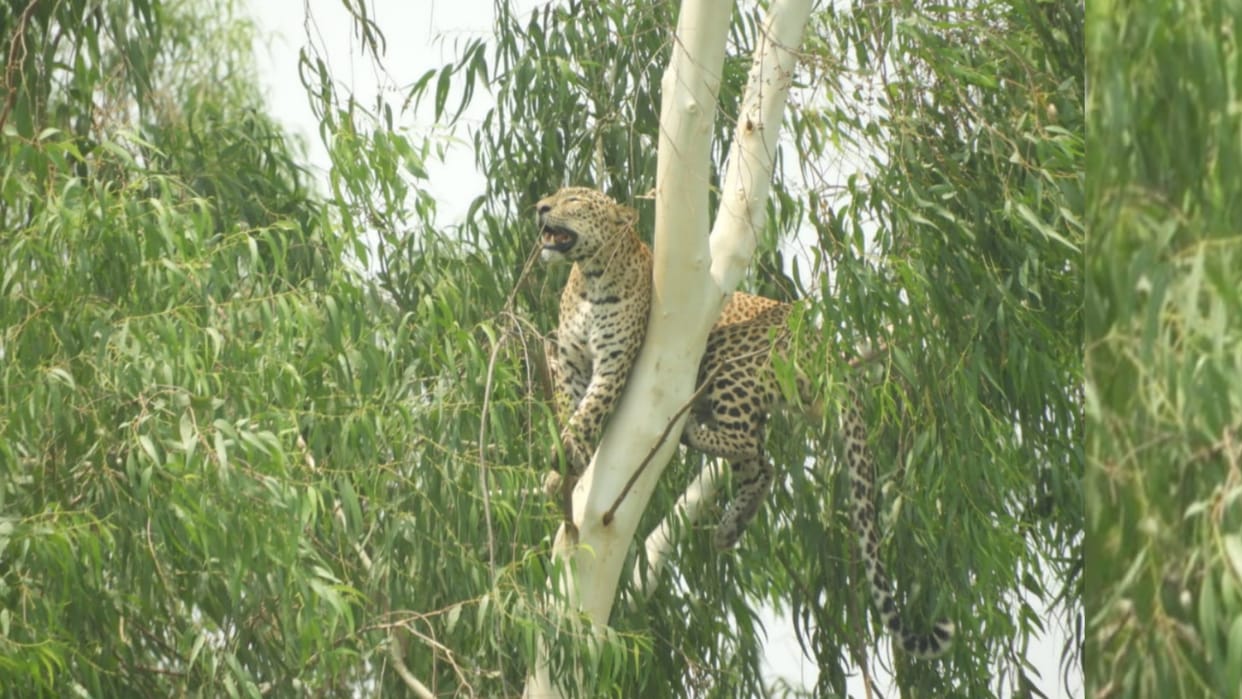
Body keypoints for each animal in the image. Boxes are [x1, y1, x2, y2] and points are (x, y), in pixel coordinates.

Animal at [536, 186, 954, 658]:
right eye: (555, 195)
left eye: (573, 199)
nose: (540, 207)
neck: (591, 280)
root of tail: (826, 348)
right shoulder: (572, 362)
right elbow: (570, 408)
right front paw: (564, 472)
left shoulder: (614, 364)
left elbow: (588, 412)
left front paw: (567, 456)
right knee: (762, 466)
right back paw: (729, 528)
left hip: (728, 361)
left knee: (749, 447)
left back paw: (690, 435)